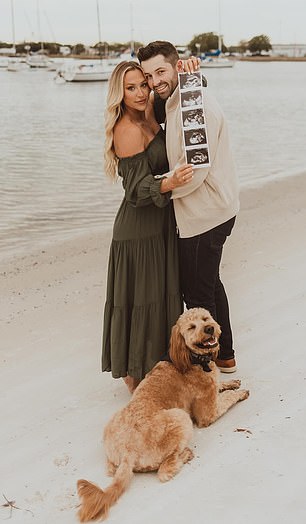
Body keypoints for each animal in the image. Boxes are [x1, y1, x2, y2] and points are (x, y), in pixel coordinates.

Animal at [76, 308, 249, 520]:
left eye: (205, 319)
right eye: (191, 328)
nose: (209, 328)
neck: (190, 359)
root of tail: (127, 454)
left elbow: (220, 386)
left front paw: (230, 383)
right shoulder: (207, 412)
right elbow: (226, 399)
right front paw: (239, 393)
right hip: (180, 418)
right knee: (165, 471)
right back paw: (185, 455)